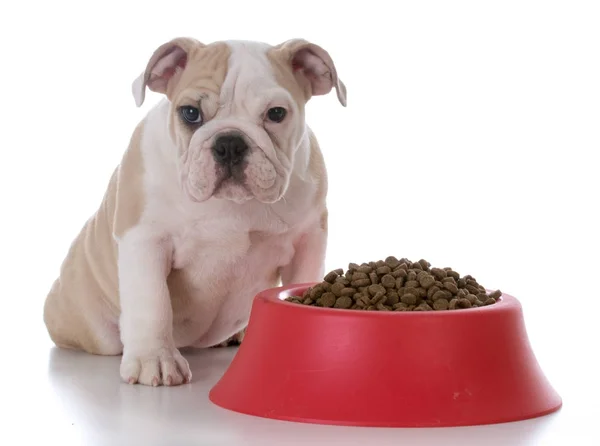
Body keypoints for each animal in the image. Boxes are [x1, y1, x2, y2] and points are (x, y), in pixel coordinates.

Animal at [42, 37, 346, 386]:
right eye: (190, 113)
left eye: (276, 114)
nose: (230, 142)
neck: (233, 206)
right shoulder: (145, 240)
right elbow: (152, 300)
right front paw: (154, 359)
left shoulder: (308, 241)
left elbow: (303, 280)